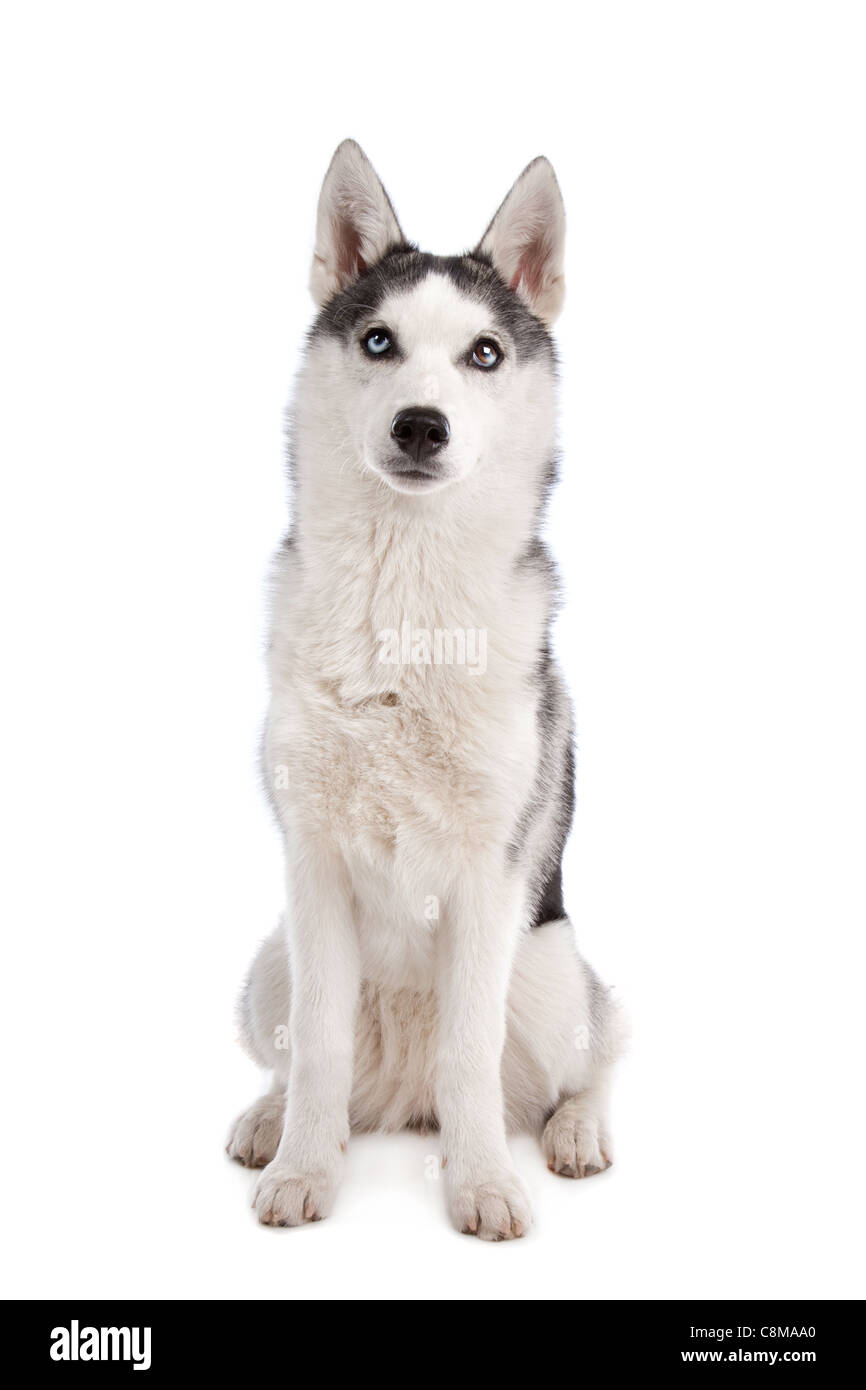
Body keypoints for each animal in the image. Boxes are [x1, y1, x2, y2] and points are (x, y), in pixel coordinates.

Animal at [230, 141, 622, 1245]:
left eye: (483, 354)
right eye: (378, 341)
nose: (420, 424)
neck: (404, 619)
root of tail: (401, 1100)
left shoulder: (491, 879)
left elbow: (470, 1054)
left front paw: (482, 1183)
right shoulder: (312, 869)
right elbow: (317, 1048)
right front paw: (302, 1170)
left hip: (549, 974)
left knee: (590, 1055)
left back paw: (574, 1132)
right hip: (270, 965)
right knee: (306, 1061)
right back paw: (270, 1121)